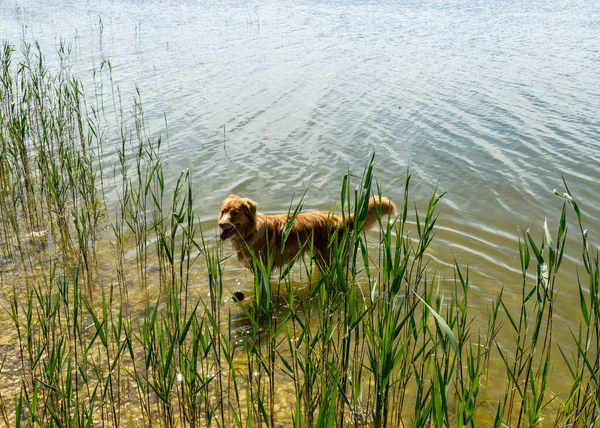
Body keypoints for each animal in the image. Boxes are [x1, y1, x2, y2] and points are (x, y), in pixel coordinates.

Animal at [218, 195, 396, 270]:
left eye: (235, 213)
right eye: (223, 211)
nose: (220, 224)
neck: (250, 232)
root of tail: (340, 219)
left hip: (331, 257)